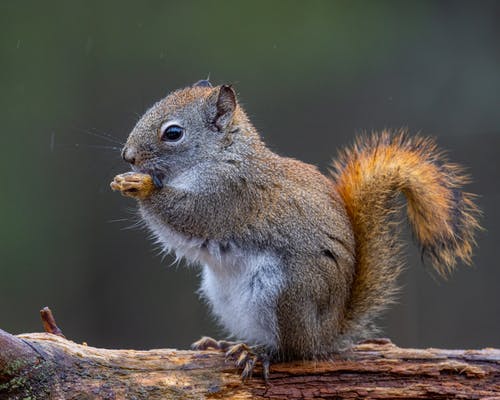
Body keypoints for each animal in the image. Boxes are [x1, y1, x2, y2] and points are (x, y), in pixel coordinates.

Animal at [110, 79, 480, 380]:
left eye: (173, 133)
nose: (128, 156)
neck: (221, 157)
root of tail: (327, 334)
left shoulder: (230, 197)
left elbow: (188, 214)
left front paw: (141, 186)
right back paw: (226, 345)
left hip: (288, 293)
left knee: (293, 352)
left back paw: (258, 353)